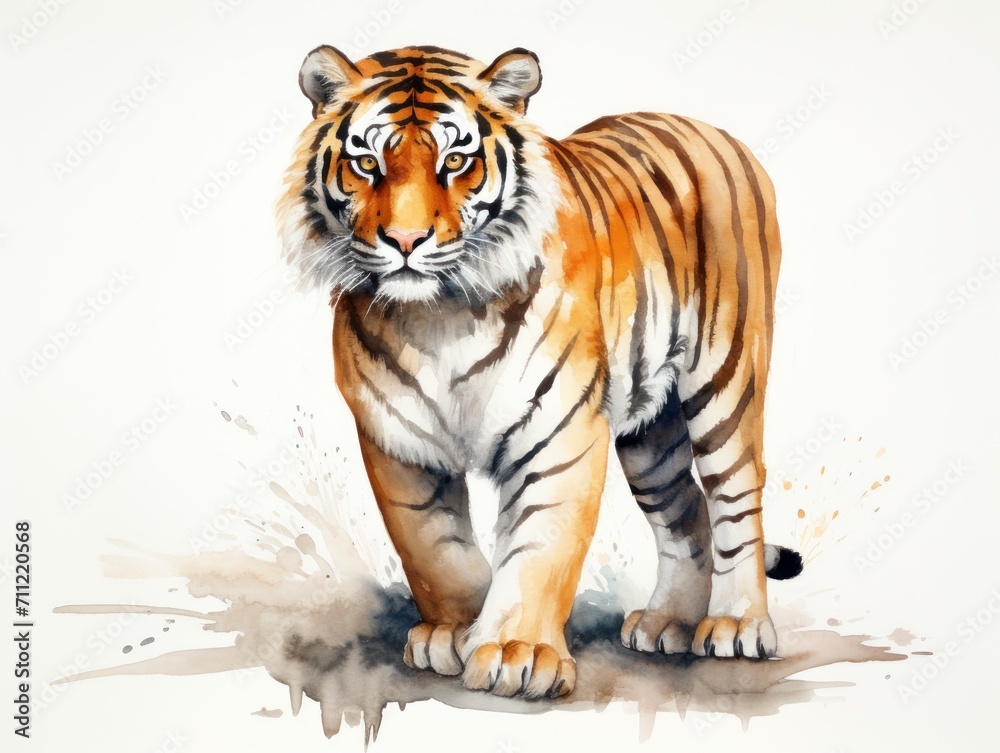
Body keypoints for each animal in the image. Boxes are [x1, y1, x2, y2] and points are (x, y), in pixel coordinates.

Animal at [277, 44, 802, 699]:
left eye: (455, 161)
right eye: (367, 163)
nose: (405, 240)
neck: (437, 317)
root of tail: (712, 129)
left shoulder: (559, 429)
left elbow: (539, 546)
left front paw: (515, 652)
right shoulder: (398, 440)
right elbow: (433, 549)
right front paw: (455, 631)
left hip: (727, 376)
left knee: (736, 497)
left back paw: (737, 625)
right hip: (649, 436)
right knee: (684, 512)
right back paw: (668, 623)